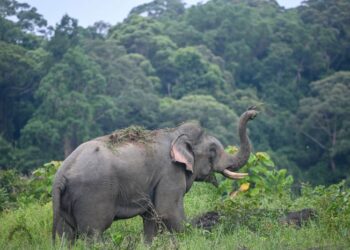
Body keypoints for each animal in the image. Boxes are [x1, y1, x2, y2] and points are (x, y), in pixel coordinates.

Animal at [52, 107, 258, 242]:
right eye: (213, 151)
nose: (253, 113)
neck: (174, 133)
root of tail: (61, 176)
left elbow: (152, 217)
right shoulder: (170, 173)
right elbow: (168, 212)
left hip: (65, 204)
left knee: (66, 234)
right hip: (92, 196)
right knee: (92, 232)